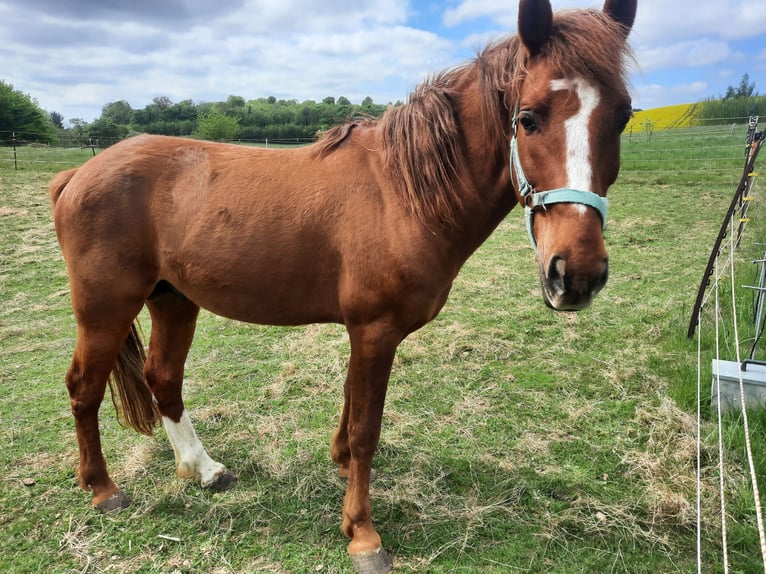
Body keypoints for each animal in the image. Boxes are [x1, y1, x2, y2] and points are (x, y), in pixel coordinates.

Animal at [48, 1, 636, 571]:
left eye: (623, 116)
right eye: (528, 118)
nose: (576, 275)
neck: (401, 193)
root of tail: (79, 174)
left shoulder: (363, 332)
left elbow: (351, 408)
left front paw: (340, 468)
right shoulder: (375, 330)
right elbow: (366, 428)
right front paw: (363, 533)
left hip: (174, 302)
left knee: (162, 378)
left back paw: (204, 468)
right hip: (105, 310)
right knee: (83, 387)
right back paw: (103, 489)